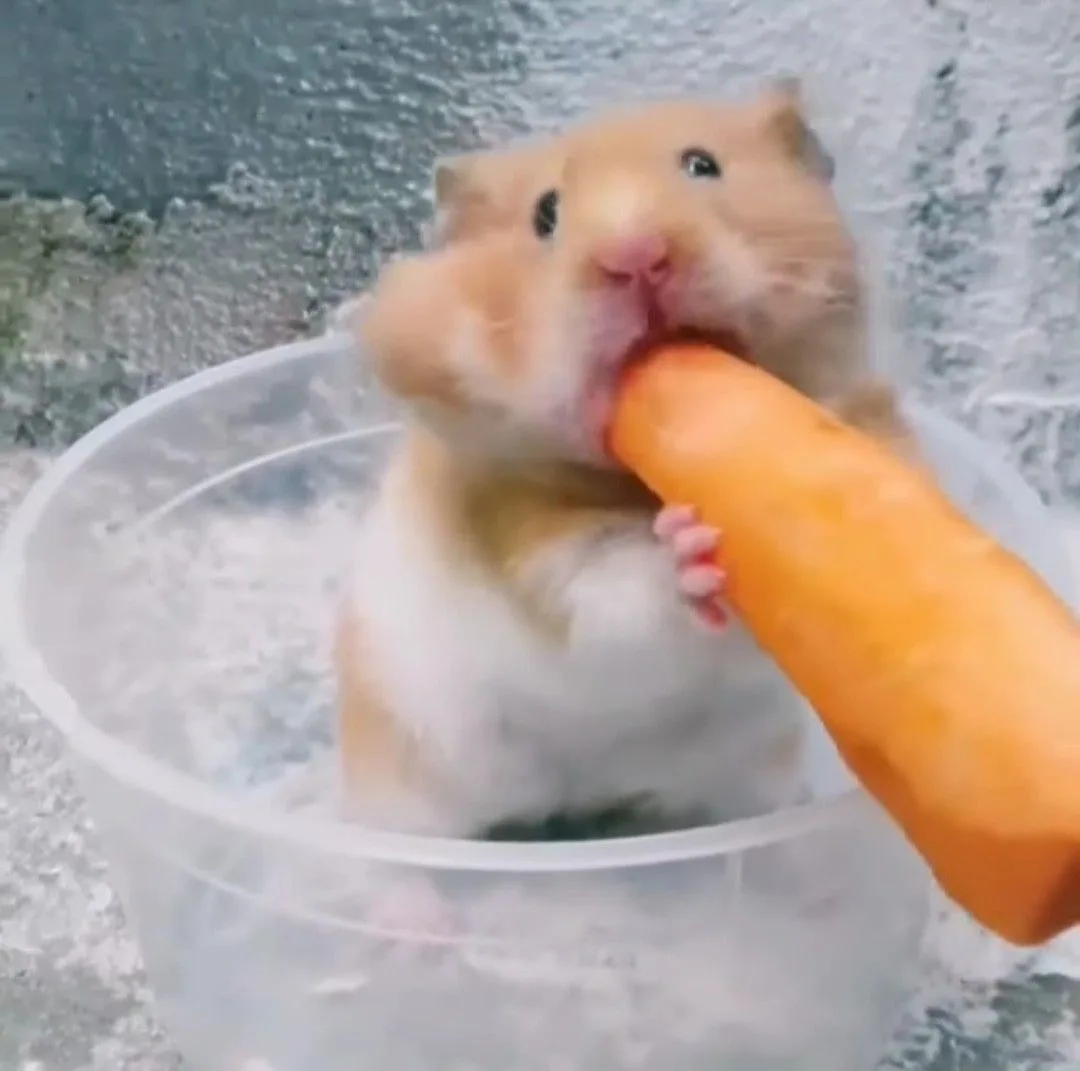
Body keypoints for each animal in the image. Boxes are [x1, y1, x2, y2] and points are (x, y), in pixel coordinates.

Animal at [337, 82, 919, 840]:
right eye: (546, 213)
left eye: (703, 165)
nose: (636, 254)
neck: (641, 485)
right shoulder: (530, 543)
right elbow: (618, 590)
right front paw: (690, 550)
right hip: (409, 779)